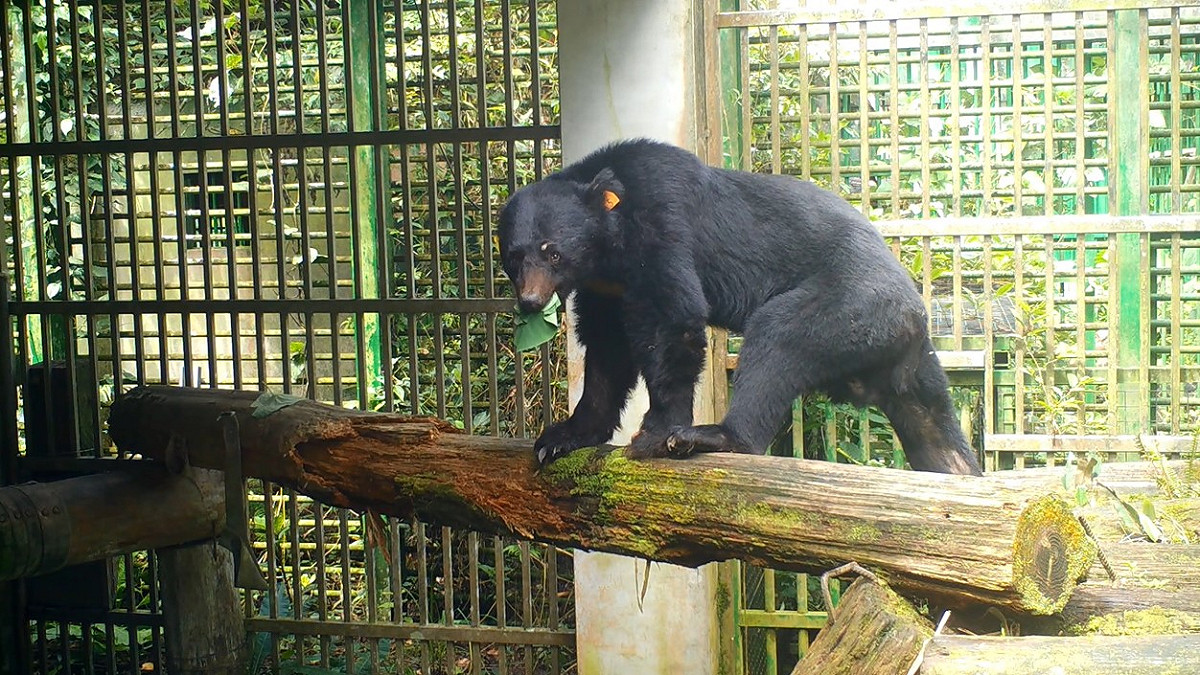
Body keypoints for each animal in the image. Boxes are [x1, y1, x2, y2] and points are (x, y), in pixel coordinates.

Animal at [498, 139, 982, 476]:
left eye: (553, 251)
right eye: (513, 258)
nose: (531, 301)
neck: (607, 253)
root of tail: (916, 315)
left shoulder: (661, 227)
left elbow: (671, 322)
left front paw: (655, 433)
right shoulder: (603, 289)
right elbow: (606, 351)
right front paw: (559, 438)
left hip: (850, 303)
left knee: (778, 340)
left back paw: (712, 436)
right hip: (902, 364)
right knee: (932, 427)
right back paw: (959, 469)